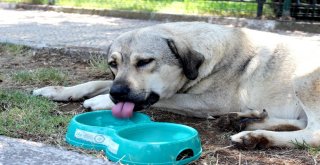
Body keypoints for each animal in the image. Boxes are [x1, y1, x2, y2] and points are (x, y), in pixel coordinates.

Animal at [33, 21, 320, 150]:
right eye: (113, 64)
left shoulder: (207, 101)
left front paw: (99, 100)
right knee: (300, 123)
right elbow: (97, 81)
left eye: (145, 62)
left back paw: (255, 136)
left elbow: (165, 97)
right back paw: (245, 121)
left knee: (313, 133)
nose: (117, 93)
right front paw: (57, 91)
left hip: (303, 79)